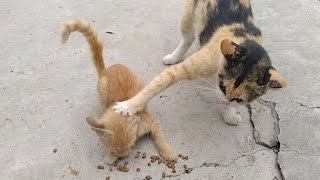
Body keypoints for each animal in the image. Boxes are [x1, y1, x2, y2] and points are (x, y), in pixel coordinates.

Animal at [61, 20, 176, 163]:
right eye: (115, 149)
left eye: (129, 145)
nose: (123, 155)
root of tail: (106, 69)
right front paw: (110, 157)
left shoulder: (152, 122)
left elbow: (160, 137)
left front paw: (168, 152)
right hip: (102, 87)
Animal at [113, 0, 288, 125]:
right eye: (222, 87)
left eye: (238, 100)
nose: (222, 100)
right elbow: (156, 85)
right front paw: (128, 106)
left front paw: (229, 114)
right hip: (188, 15)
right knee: (187, 38)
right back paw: (173, 57)